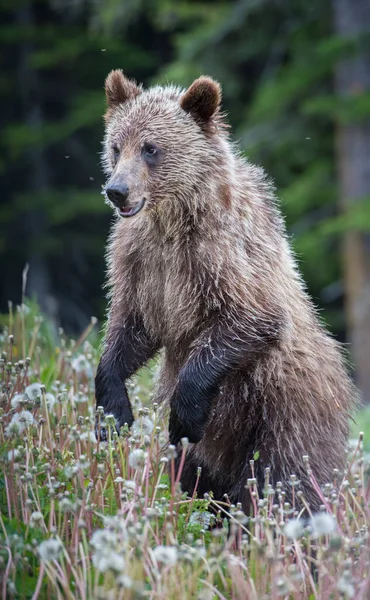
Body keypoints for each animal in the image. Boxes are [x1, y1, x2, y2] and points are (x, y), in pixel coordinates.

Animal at [95, 70, 356, 510]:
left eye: (151, 148)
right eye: (116, 146)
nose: (117, 190)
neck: (173, 221)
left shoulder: (223, 258)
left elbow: (252, 319)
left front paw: (183, 415)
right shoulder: (140, 263)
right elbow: (131, 327)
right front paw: (114, 409)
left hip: (284, 410)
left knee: (289, 479)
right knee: (197, 476)